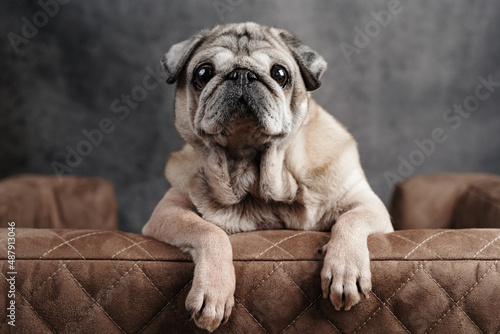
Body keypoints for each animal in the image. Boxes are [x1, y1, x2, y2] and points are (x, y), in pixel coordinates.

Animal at [143, 21, 392, 332]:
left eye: (280, 74)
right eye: (203, 74)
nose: (241, 74)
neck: (251, 174)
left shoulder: (368, 204)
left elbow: (350, 220)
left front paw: (345, 270)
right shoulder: (167, 211)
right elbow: (208, 231)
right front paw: (214, 291)